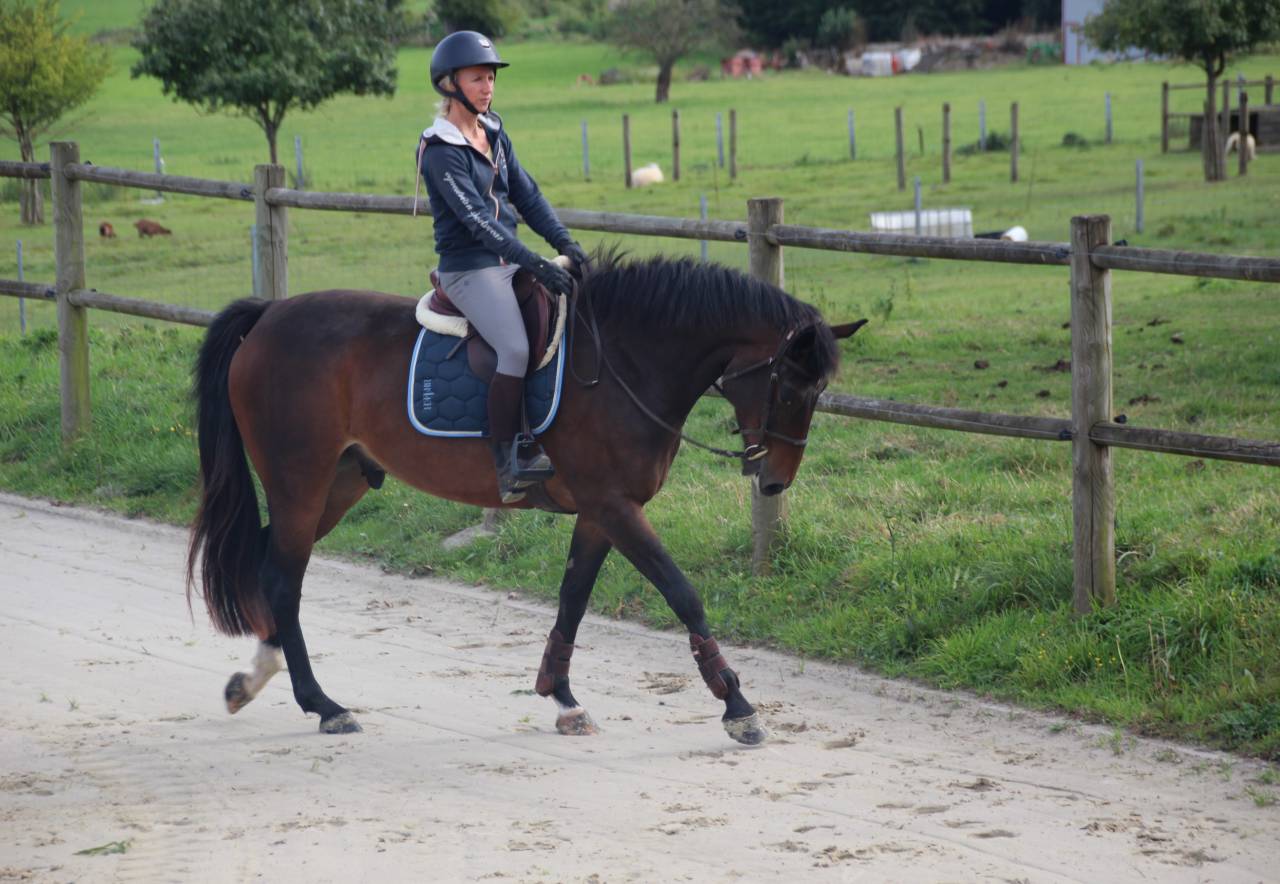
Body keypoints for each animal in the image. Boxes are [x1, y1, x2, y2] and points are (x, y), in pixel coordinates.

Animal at [187, 251, 865, 744]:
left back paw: (255, 680)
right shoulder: (616, 507)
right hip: (299, 483)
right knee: (282, 579)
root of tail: (269, 316)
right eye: (789, 389)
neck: (625, 362)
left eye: (815, 393)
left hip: (339, 483)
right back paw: (323, 705)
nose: (774, 481)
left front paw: (562, 699)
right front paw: (737, 705)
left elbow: (573, 599)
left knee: (273, 570)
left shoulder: (600, 512)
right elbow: (683, 594)